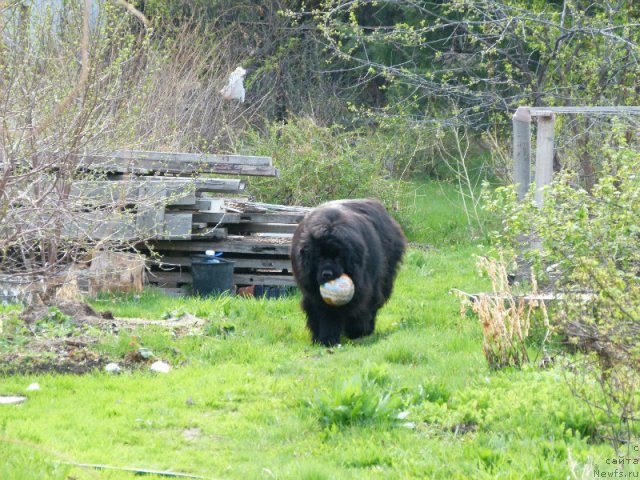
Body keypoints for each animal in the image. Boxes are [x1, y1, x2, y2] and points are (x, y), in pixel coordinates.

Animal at [290, 199, 404, 344]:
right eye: (319, 257)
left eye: (338, 258)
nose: (327, 274)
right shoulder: (313, 293)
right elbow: (324, 314)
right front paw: (326, 338)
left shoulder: (364, 287)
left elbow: (360, 308)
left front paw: (357, 331)